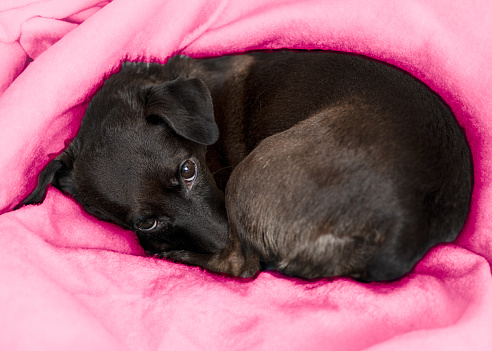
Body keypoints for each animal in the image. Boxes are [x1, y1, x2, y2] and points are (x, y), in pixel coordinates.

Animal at [19, 51, 472, 284]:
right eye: (145, 222)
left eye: (188, 170)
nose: (222, 236)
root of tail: (409, 226)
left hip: (250, 174)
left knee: (242, 267)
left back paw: (177, 255)